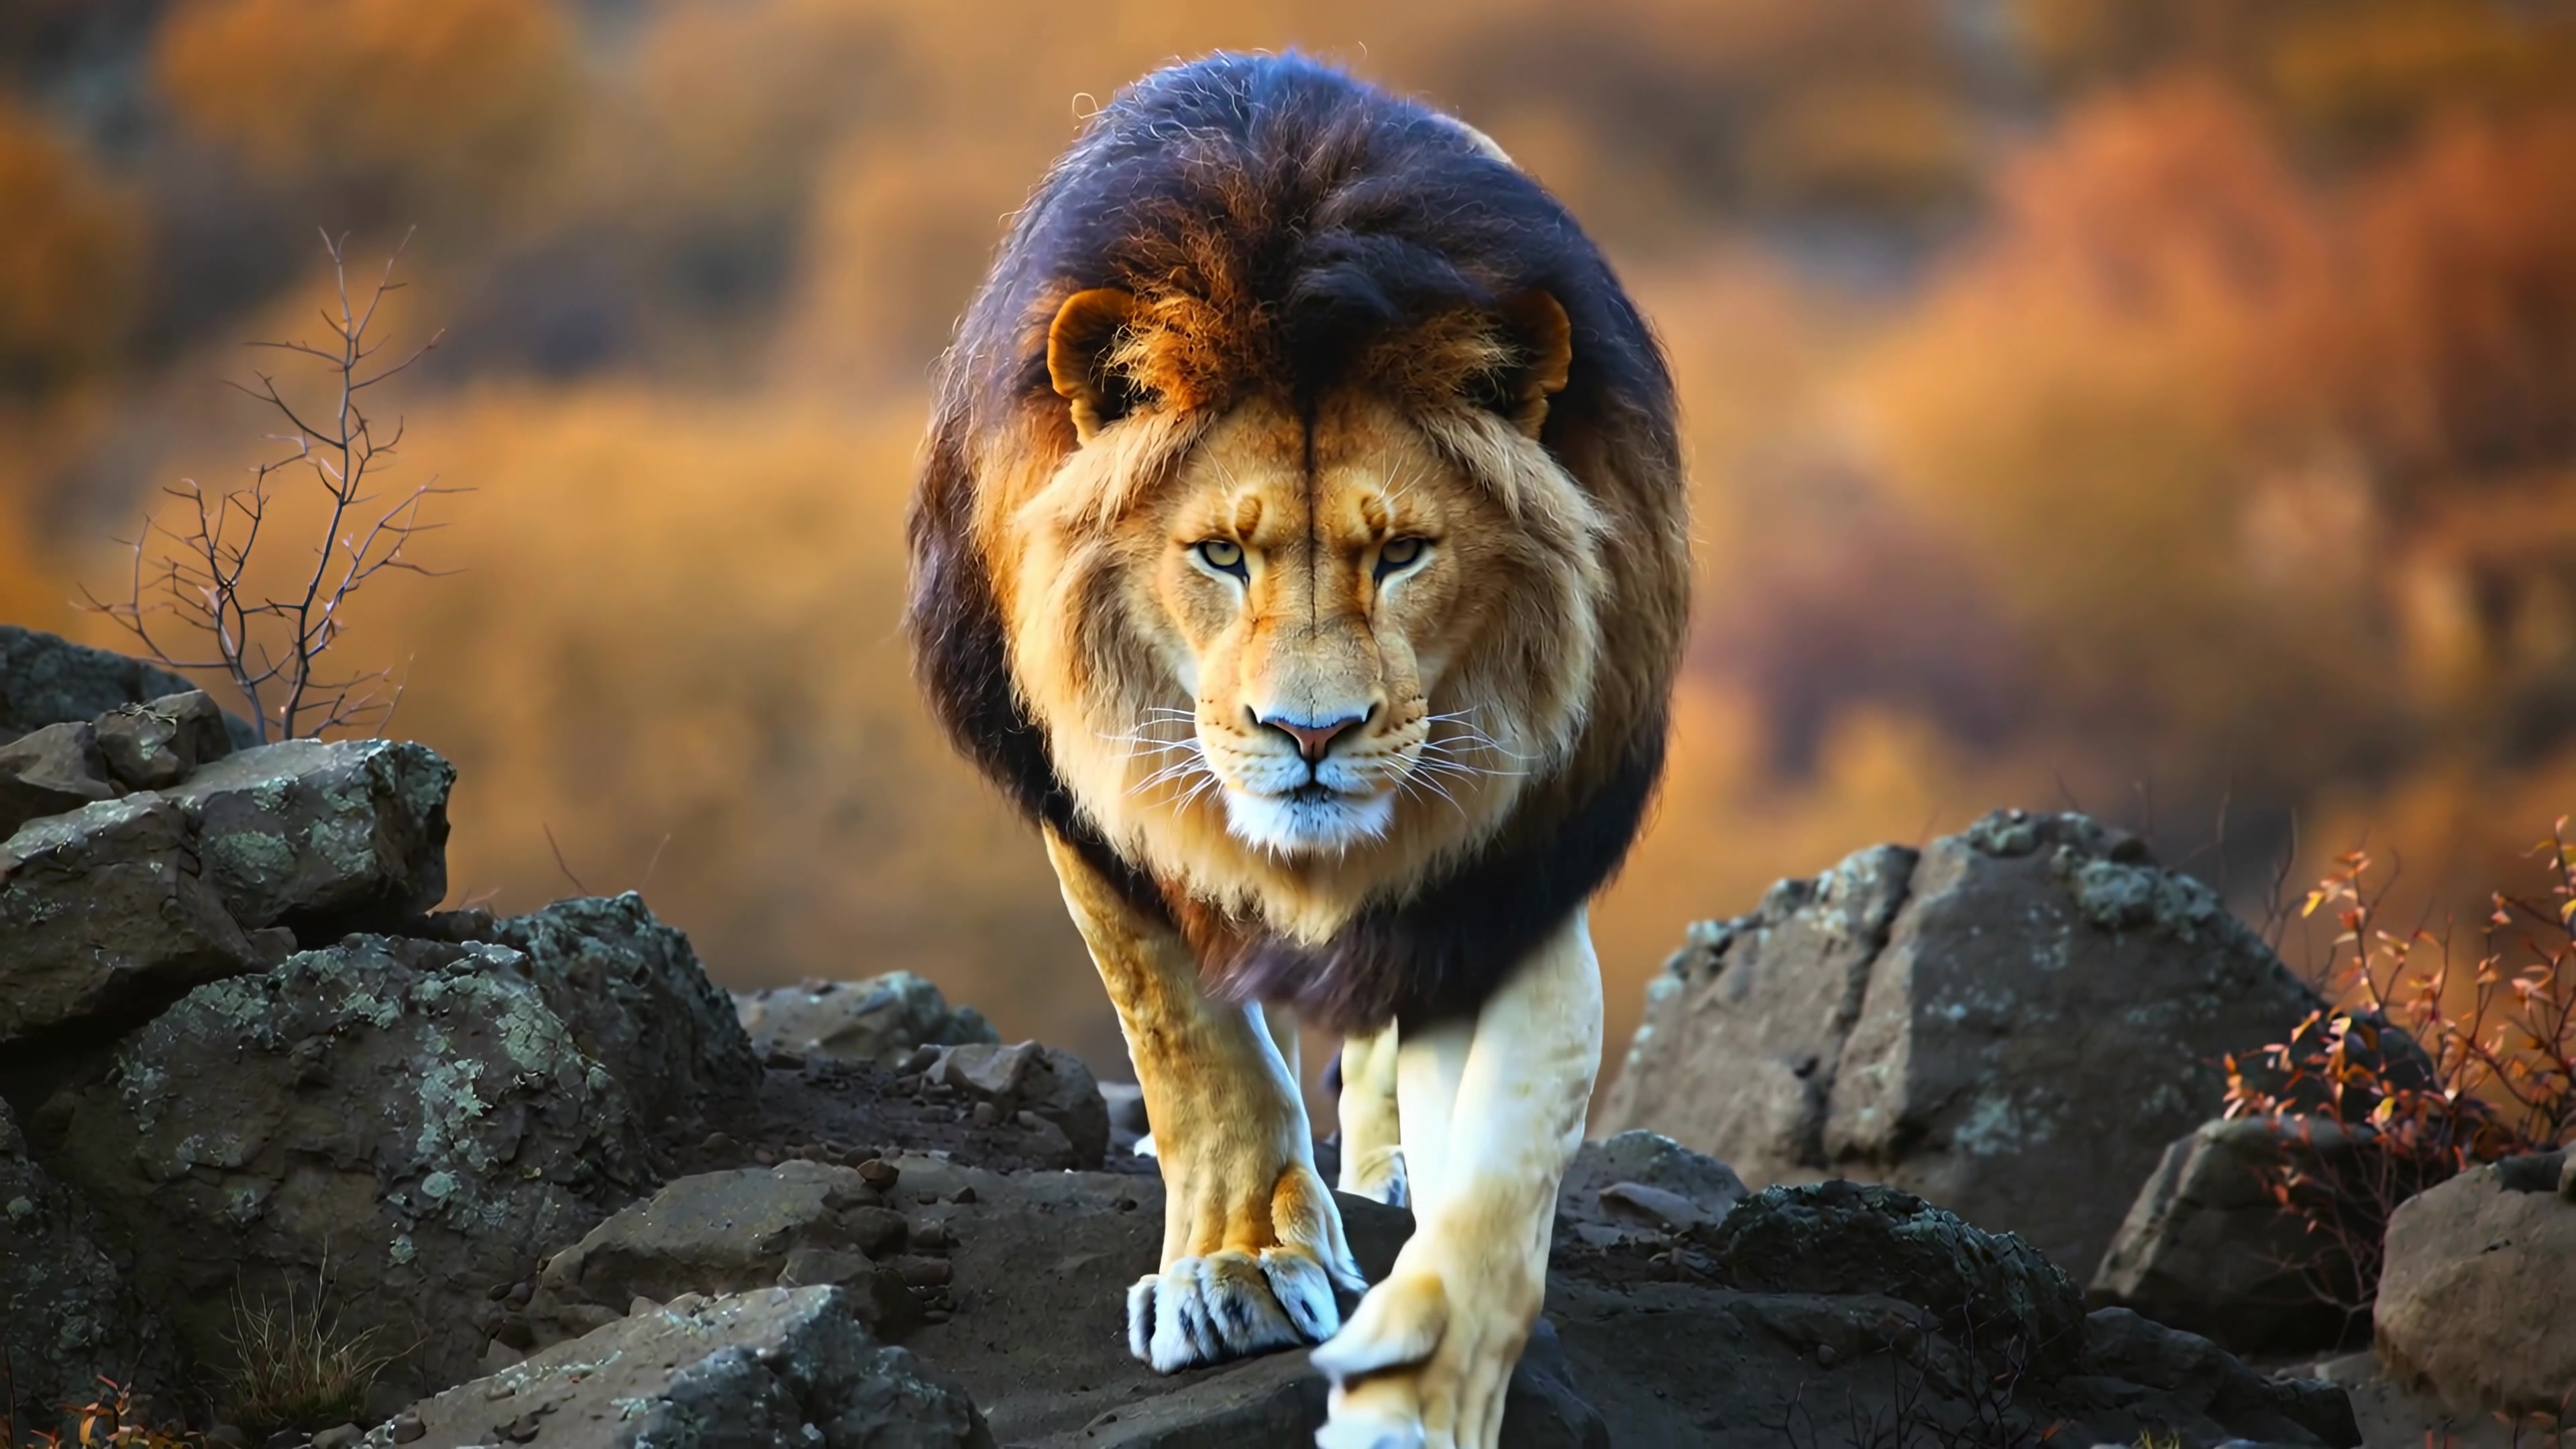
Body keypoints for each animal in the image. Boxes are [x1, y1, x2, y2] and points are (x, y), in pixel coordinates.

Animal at [907, 53, 1687, 1449]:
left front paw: (1424, 1391)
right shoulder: (1083, 798)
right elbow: (1184, 1030)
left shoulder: (1520, 862)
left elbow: (1514, 1138)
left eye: (1404, 553)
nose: (1310, 737)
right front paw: (1239, 1267)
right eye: (1222, 552)